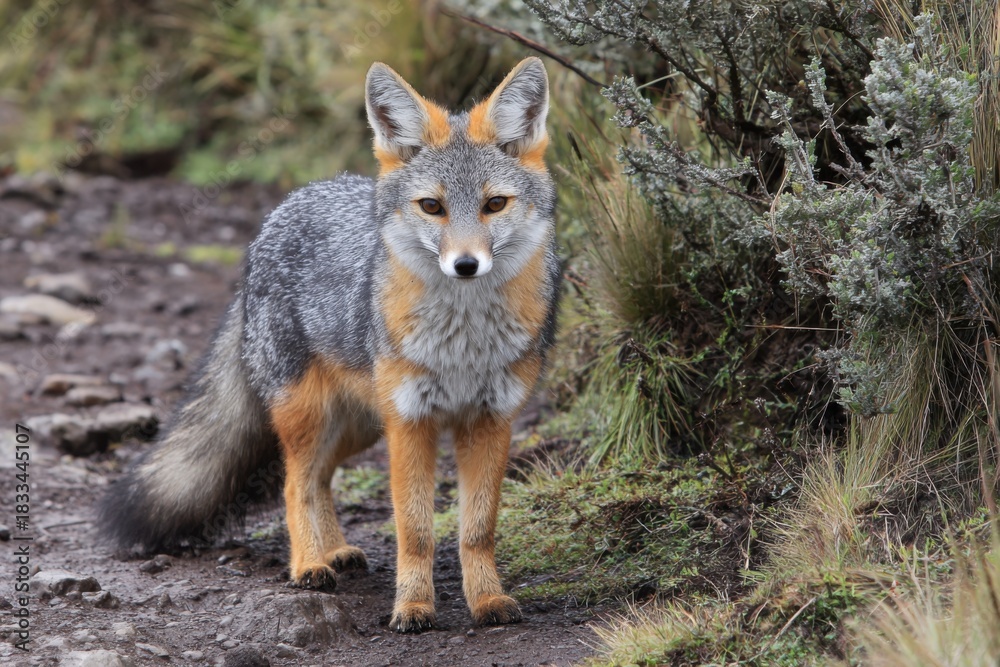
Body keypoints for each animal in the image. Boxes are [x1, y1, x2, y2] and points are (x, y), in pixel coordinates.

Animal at [98, 57, 560, 633]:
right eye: (432, 207)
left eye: (494, 204)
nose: (466, 265)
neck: (463, 341)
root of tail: (286, 207)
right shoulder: (411, 422)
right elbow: (414, 530)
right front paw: (412, 606)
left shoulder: (490, 419)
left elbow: (477, 529)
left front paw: (487, 600)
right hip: (311, 412)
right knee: (295, 483)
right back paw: (308, 564)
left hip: (360, 424)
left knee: (320, 478)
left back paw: (335, 550)